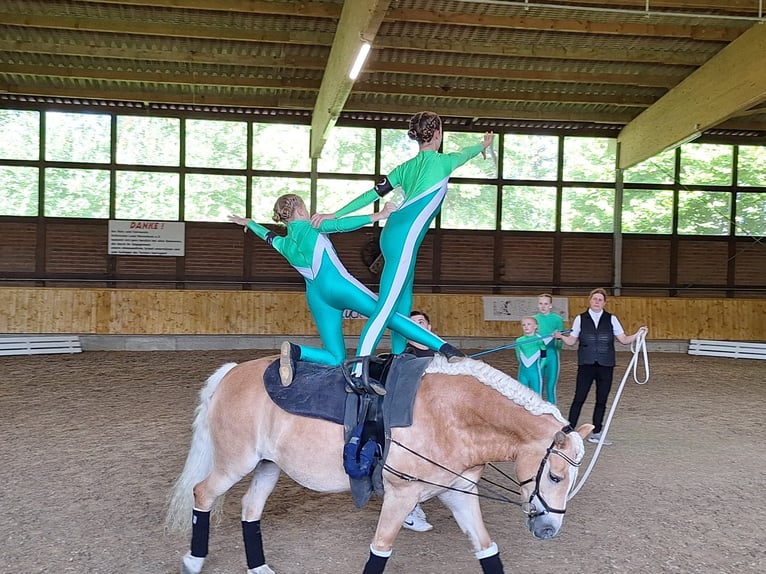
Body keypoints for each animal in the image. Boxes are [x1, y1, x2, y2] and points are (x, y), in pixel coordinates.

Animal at [166, 356, 592, 574]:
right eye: (555, 476)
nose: (549, 530)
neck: (449, 414)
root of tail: (233, 371)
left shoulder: (459, 492)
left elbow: (487, 549)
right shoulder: (401, 495)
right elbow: (380, 549)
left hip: (268, 465)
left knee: (250, 509)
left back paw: (258, 568)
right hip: (235, 463)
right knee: (202, 494)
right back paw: (193, 560)